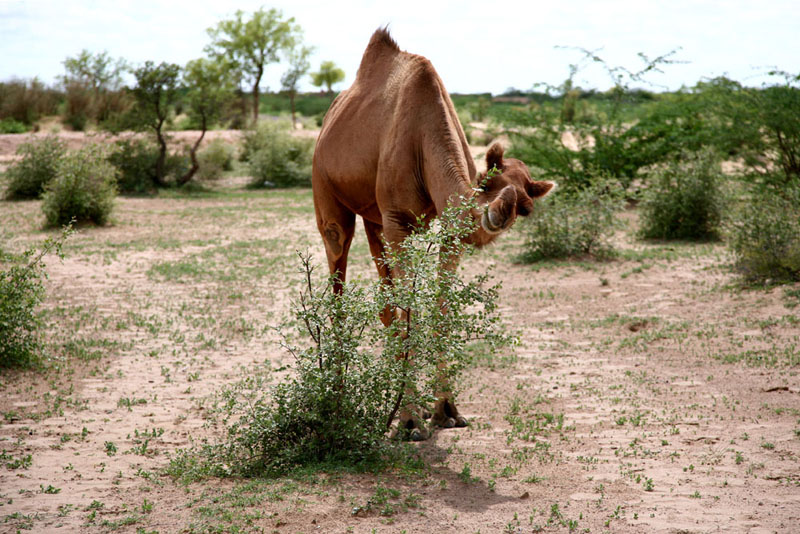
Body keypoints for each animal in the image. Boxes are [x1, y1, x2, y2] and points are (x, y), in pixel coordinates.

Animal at [312, 28, 556, 440]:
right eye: (489, 182)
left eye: (526, 208)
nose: (504, 209)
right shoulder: (397, 219)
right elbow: (409, 306)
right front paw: (410, 420)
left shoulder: (446, 230)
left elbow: (438, 309)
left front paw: (444, 410)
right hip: (328, 199)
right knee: (338, 280)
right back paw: (338, 399)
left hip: (374, 221)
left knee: (384, 301)